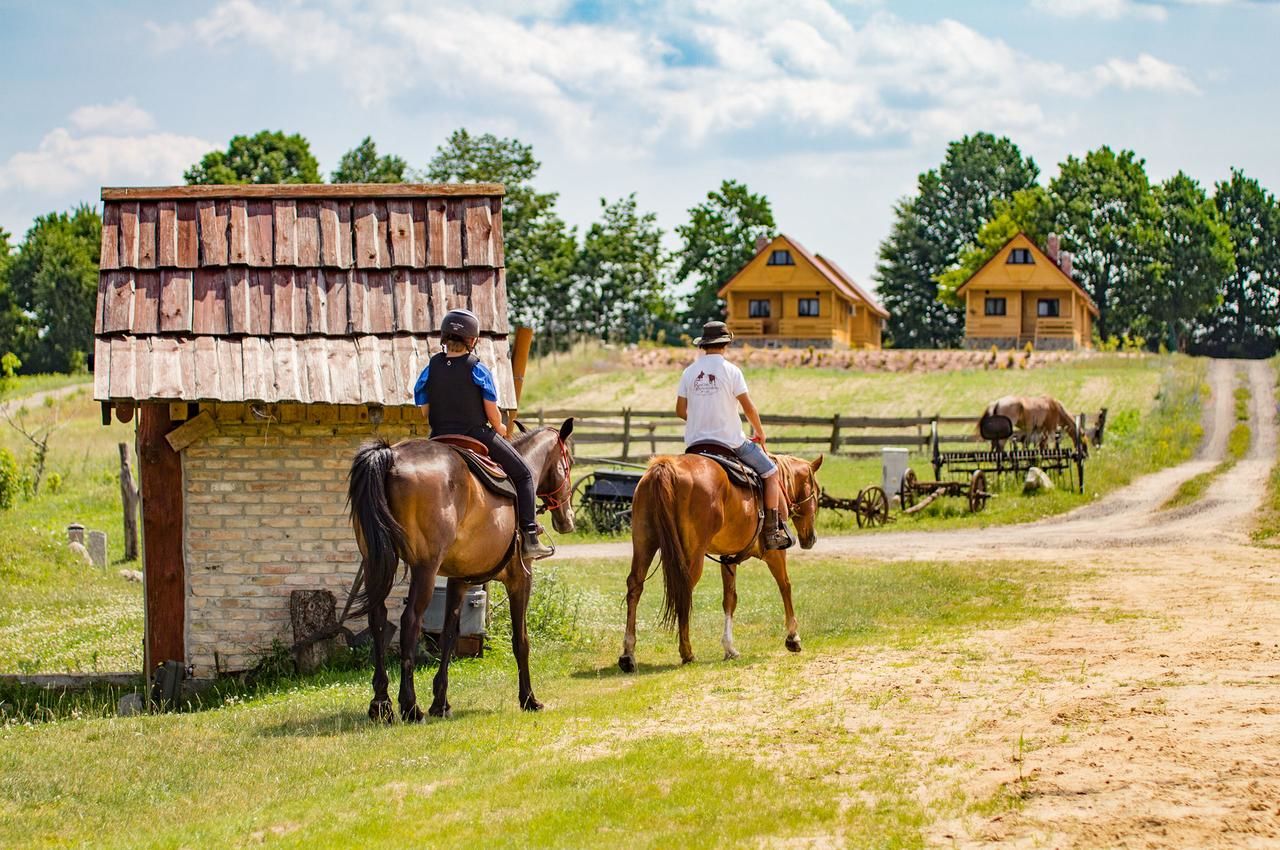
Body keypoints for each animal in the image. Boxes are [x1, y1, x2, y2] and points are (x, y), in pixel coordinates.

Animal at [345, 422, 576, 721]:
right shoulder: (520, 578)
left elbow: (449, 634)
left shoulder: (459, 579)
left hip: (376, 562)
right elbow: (521, 640)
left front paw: (441, 702)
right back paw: (410, 706)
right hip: (425, 568)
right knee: (410, 621)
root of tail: (391, 456)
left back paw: (381, 704)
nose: (567, 520)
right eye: (570, 462)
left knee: (379, 619)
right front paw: (529, 699)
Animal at [616, 450, 819, 670]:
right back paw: (687, 652)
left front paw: (729, 648)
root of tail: (666, 467)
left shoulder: (728, 558)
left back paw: (628, 654)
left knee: (635, 586)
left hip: (644, 542)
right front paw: (793, 637)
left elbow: (730, 599)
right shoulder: (775, 554)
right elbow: (785, 586)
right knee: (683, 590)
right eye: (816, 492)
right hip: (692, 554)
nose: (811, 538)